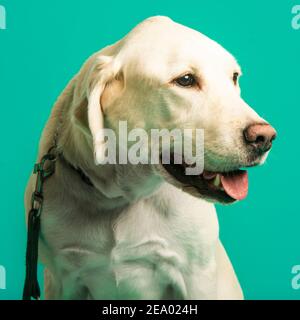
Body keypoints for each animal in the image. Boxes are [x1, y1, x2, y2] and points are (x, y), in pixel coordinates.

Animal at [24, 15, 276, 300]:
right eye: (186, 80)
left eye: (234, 77)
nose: (265, 138)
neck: (120, 197)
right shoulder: (63, 279)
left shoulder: (198, 278)